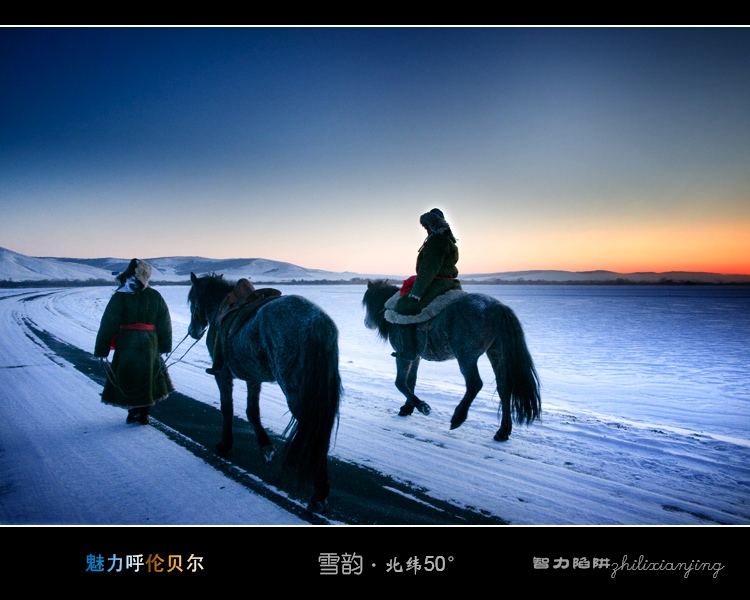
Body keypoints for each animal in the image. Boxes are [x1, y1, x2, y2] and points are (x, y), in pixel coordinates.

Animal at [189, 274, 342, 510]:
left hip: (296, 391)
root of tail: (317, 323)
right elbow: (252, 412)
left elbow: (227, 408)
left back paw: (319, 494)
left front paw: (225, 444)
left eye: (193, 300)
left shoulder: (222, 375)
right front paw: (266, 448)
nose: (192, 331)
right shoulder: (253, 377)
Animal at [364, 280, 540, 440]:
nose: (366, 323)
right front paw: (407, 408)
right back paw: (503, 431)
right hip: (496, 353)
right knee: (504, 388)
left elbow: (400, 383)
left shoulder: (402, 355)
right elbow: (411, 381)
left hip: (466, 356)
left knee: (475, 384)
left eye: (370, 301)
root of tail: (496, 307)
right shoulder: (415, 356)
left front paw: (422, 406)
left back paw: (458, 417)